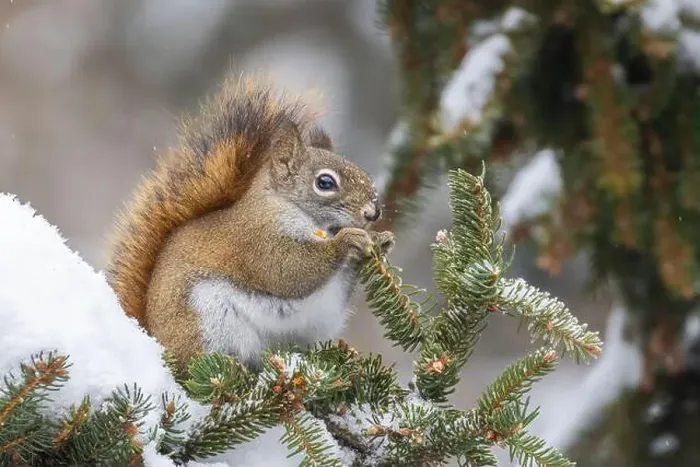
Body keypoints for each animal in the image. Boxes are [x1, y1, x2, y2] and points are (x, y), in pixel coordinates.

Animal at [105, 77, 394, 371]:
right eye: (325, 182)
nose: (374, 212)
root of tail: (154, 339)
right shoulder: (257, 239)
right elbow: (289, 270)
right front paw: (347, 241)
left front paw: (381, 241)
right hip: (207, 321)